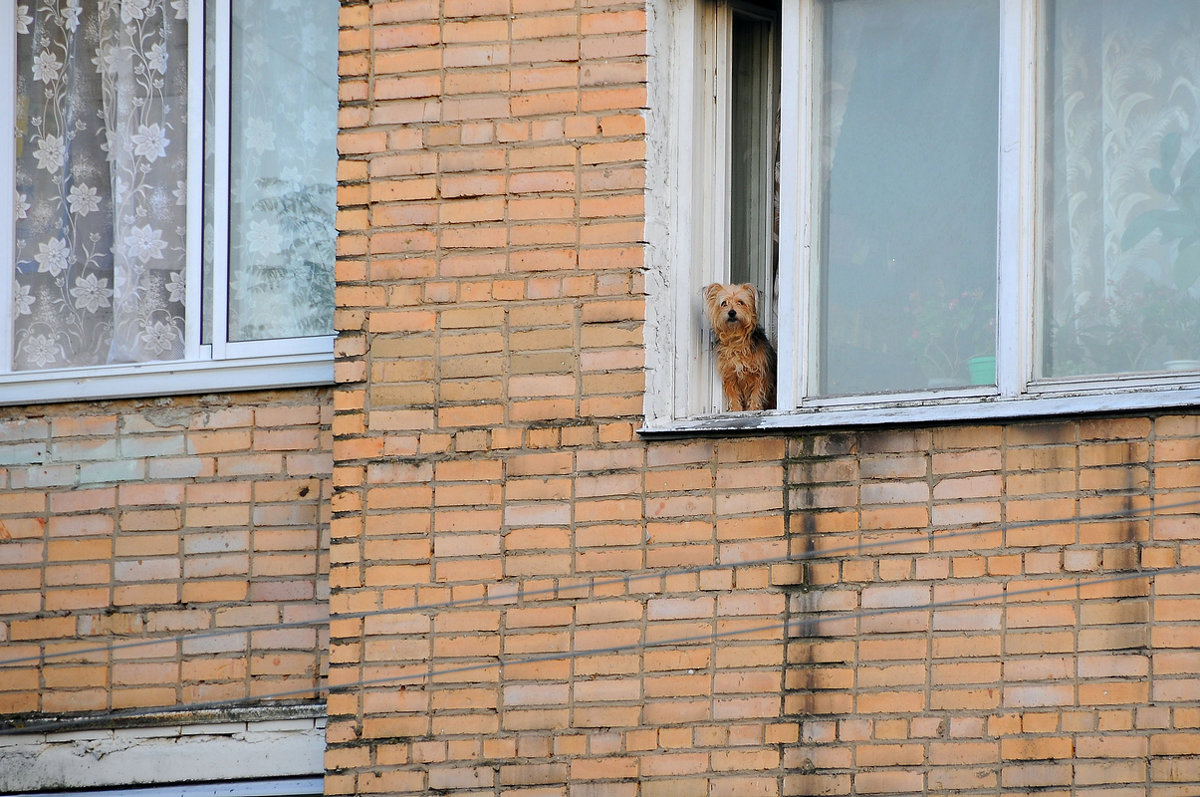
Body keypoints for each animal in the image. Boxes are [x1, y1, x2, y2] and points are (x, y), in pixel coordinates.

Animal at [700, 283, 777, 412]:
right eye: (724, 303)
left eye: (740, 302)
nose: (731, 312)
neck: (736, 339)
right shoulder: (730, 376)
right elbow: (733, 396)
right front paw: (736, 410)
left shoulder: (761, 375)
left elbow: (756, 395)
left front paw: (753, 410)